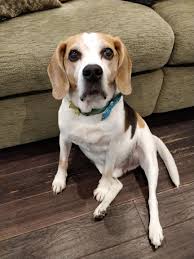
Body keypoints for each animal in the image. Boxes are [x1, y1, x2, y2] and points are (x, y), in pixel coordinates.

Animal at [47, 32, 180, 250]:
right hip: (99, 164)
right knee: (118, 185)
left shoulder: (113, 147)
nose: (92, 72)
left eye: (108, 52)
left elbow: (107, 175)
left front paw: (101, 189)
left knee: (151, 198)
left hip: (149, 161)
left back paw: (155, 229)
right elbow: (62, 161)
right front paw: (59, 180)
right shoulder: (64, 137)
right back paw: (102, 209)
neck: (90, 113)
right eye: (73, 55)